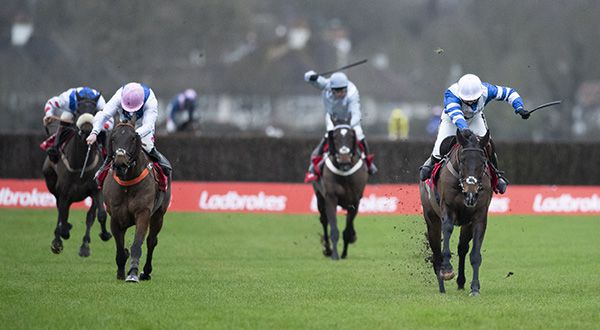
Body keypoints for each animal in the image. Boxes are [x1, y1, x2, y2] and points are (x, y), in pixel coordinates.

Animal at [42, 102, 111, 255]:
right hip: (52, 182)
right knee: (61, 212)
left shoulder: (96, 190)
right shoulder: (63, 192)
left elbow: (97, 215)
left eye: (94, 110)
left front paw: (88, 245)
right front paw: (60, 238)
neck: (80, 165)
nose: (87, 130)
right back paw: (59, 238)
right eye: (78, 110)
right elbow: (62, 215)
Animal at [103, 120, 171, 282]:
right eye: (113, 138)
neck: (127, 185)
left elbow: (137, 243)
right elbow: (120, 248)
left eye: (133, 138)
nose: (120, 164)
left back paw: (145, 272)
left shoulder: (143, 213)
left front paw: (133, 272)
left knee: (151, 241)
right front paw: (121, 271)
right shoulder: (115, 217)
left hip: (158, 215)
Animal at [312, 122, 368, 260]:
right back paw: (328, 249)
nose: (344, 159)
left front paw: (344, 252)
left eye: (351, 137)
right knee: (324, 220)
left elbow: (347, 229)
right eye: (335, 138)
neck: (345, 174)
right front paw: (335, 255)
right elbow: (333, 228)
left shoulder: (355, 200)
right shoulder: (330, 197)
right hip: (319, 197)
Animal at [420, 130, 494, 296]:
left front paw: (475, 288)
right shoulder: (447, 209)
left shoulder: (479, 216)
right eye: (462, 160)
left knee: (462, 248)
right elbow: (447, 230)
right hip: (431, 219)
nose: (471, 193)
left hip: (466, 223)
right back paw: (441, 286)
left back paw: (461, 282)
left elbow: (475, 254)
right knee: (436, 252)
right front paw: (447, 270)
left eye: (483, 161)